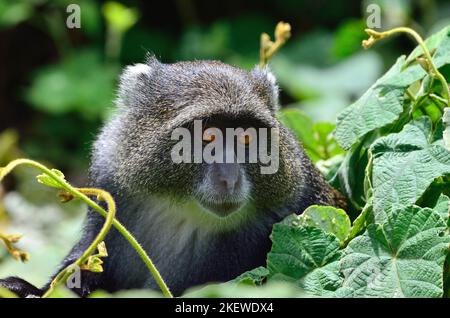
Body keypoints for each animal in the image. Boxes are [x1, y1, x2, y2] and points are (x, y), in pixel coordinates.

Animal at [0, 57, 344, 298]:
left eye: (247, 138)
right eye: (207, 136)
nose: (229, 178)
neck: (182, 208)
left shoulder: (296, 206)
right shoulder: (110, 180)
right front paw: (28, 289)